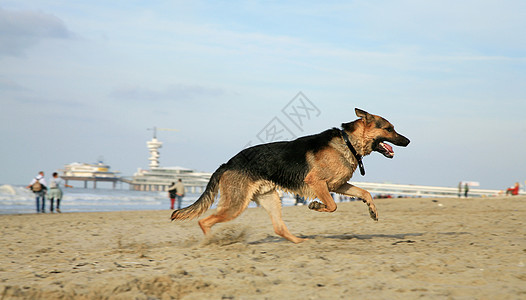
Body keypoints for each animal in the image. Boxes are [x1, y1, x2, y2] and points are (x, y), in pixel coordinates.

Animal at [171, 109, 410, 243]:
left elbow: (365, 193)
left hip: (269, 199)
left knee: (278, 227)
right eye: (389, 129)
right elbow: (332, 205)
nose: (408, 141)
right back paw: (211, 241)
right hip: (235, 205)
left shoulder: (337, 185)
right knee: (204, 221)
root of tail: (227, 163)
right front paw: (316, 206)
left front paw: (372, 210)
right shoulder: (318, 183)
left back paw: (298, 241)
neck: (348, 142)